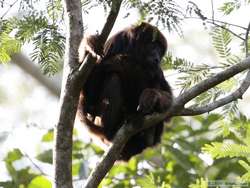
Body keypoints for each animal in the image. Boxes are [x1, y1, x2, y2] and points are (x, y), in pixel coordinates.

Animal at [77, 21, 173, 160]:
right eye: (153, 45)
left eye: (160, 50)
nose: (157, 57)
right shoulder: (112, 44)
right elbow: (90, 99)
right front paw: (88, 44)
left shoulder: (158, 69)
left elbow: (169, 103)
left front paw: (150, 96)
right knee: (114, 78)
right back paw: (112, 130)